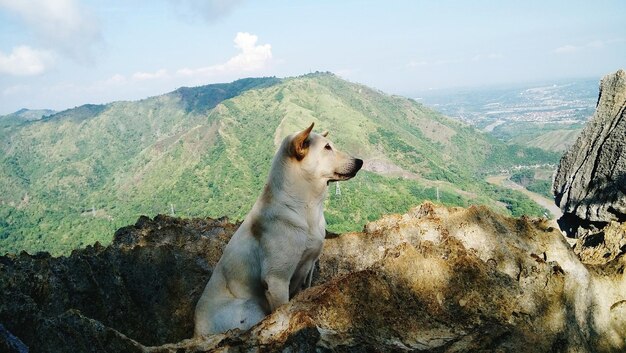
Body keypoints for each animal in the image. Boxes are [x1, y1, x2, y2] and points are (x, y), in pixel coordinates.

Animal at [194, 122, 360, 334]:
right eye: (327, 147)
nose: (360, 161)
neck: (305, 207)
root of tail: (198, 331)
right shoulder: (276, 280)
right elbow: (282, 308)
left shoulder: (308, 268)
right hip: (250, 308)